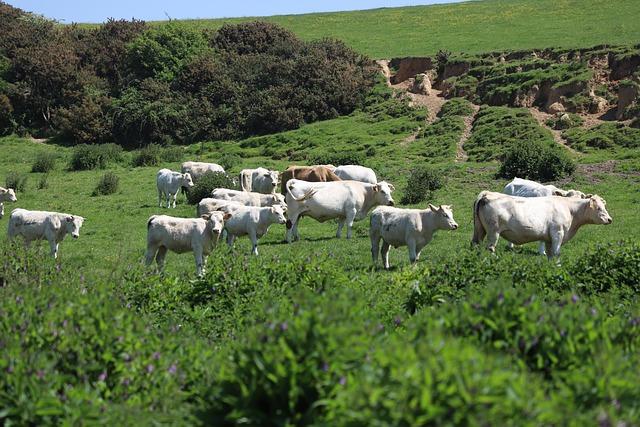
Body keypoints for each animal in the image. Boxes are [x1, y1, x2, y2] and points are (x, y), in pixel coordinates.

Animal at [472, 192, 612, 260]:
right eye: (599, 208)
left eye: (604, 206)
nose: (610, 219)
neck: (570, 209)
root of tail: (487, 194)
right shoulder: (558, 233)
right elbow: (556, 254)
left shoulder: (549, 239)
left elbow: (551, 255)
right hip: (493, 231)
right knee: (490, 248)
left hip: (479, 230)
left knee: (475, 245)